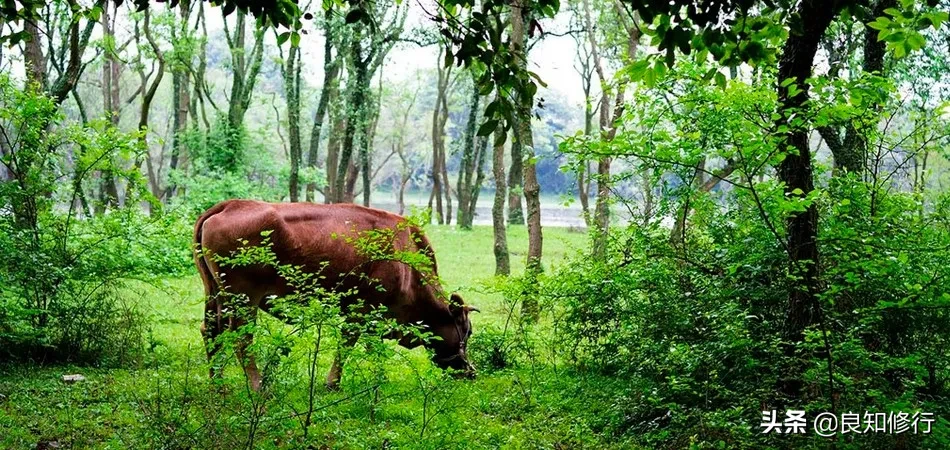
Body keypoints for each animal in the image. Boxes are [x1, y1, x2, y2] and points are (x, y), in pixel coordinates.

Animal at [194, 200, 480, 390]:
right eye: (467, 331)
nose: (470, 371)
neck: (407, 263)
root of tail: (229, 205)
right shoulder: (361, 309)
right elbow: (348, 342)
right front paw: (333, 382)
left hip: (214, 293)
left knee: (211, 330)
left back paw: (217, 384)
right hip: (244, 299)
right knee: (242, 339)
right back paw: (257, 385)